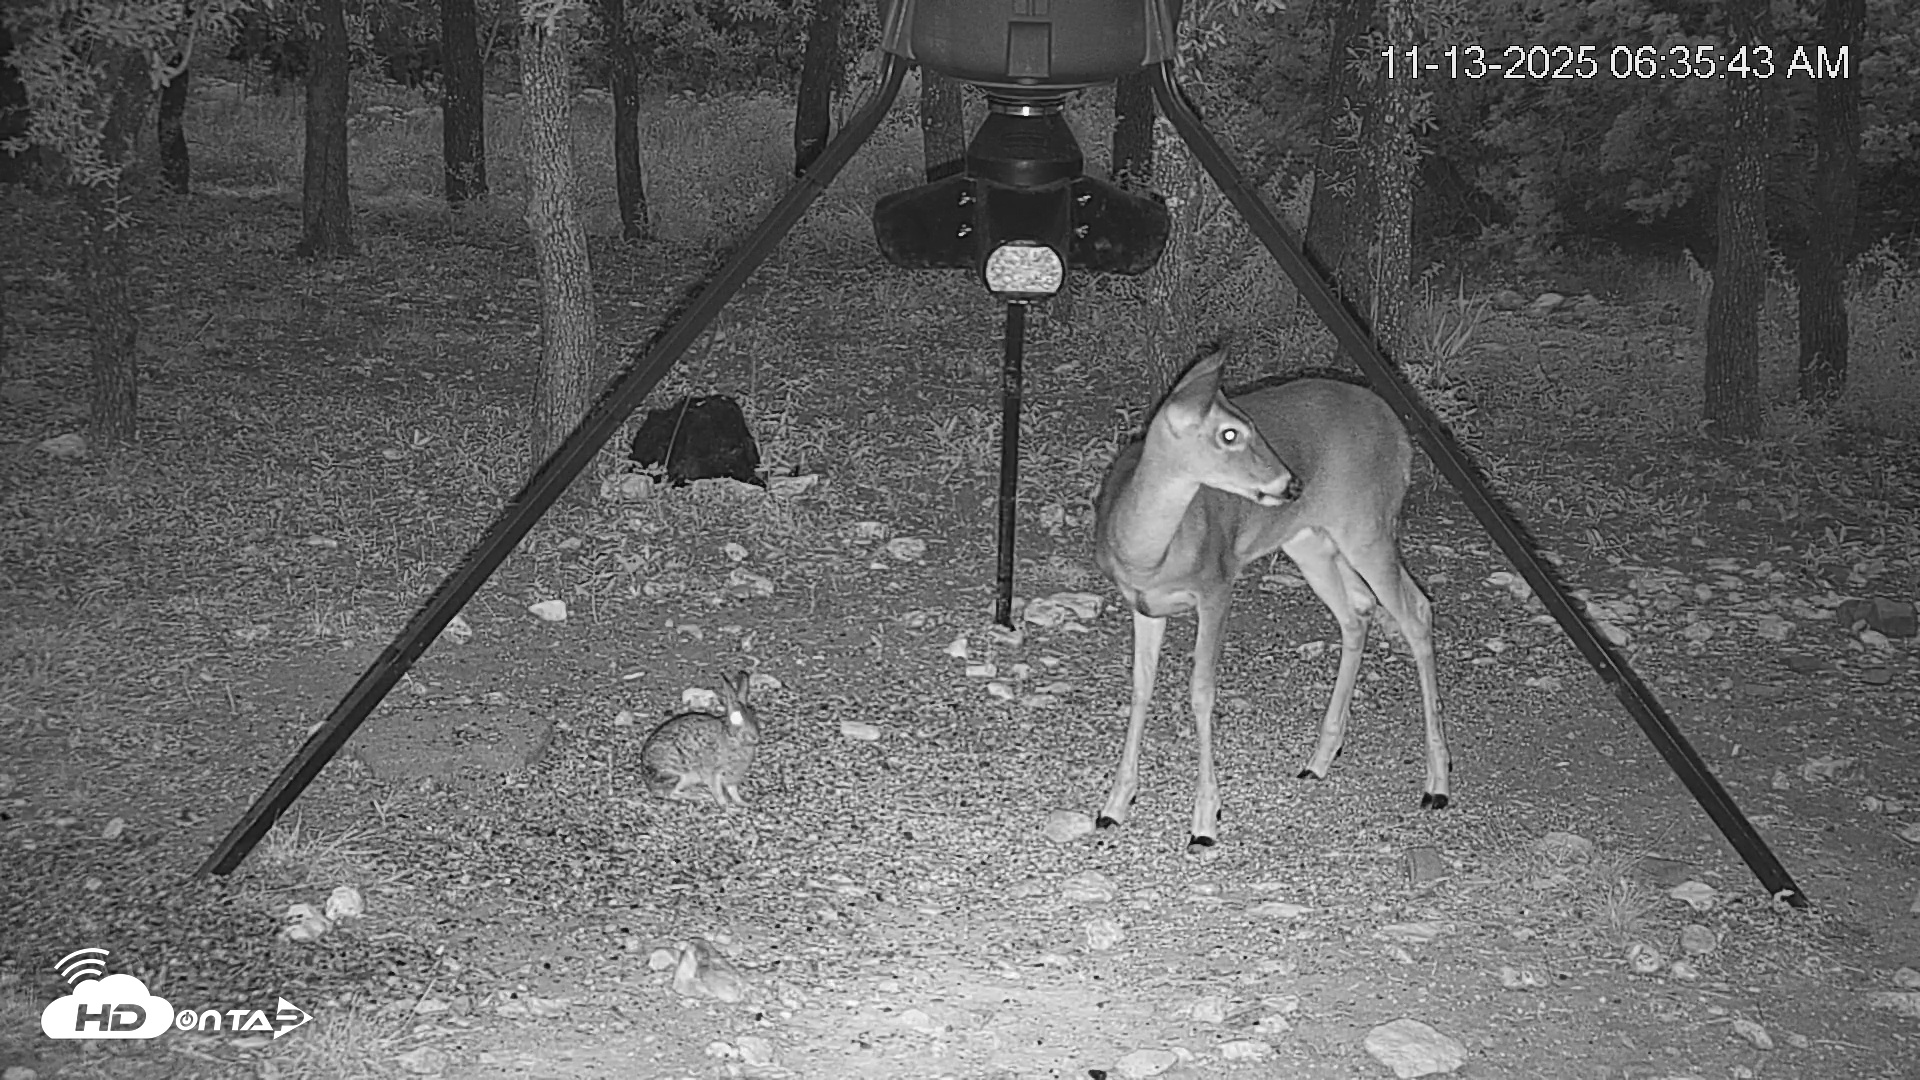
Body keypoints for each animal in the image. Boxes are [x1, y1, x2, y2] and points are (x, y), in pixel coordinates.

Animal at [1091, 345, 1447, 854]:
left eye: (1248, 424)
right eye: (1230, 433)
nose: (1291, 484)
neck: (1148, 552)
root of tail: (1400, 434)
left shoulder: (1217, 585)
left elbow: (1202, 691)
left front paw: (1205, 821)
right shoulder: (1142, 604)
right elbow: (1141, 688)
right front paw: (1115, 804)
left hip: (1369, 524)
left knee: (1415, 611)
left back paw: (1437, 784)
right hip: (1311, 539)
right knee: (1358, 610)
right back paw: (1319, 759)